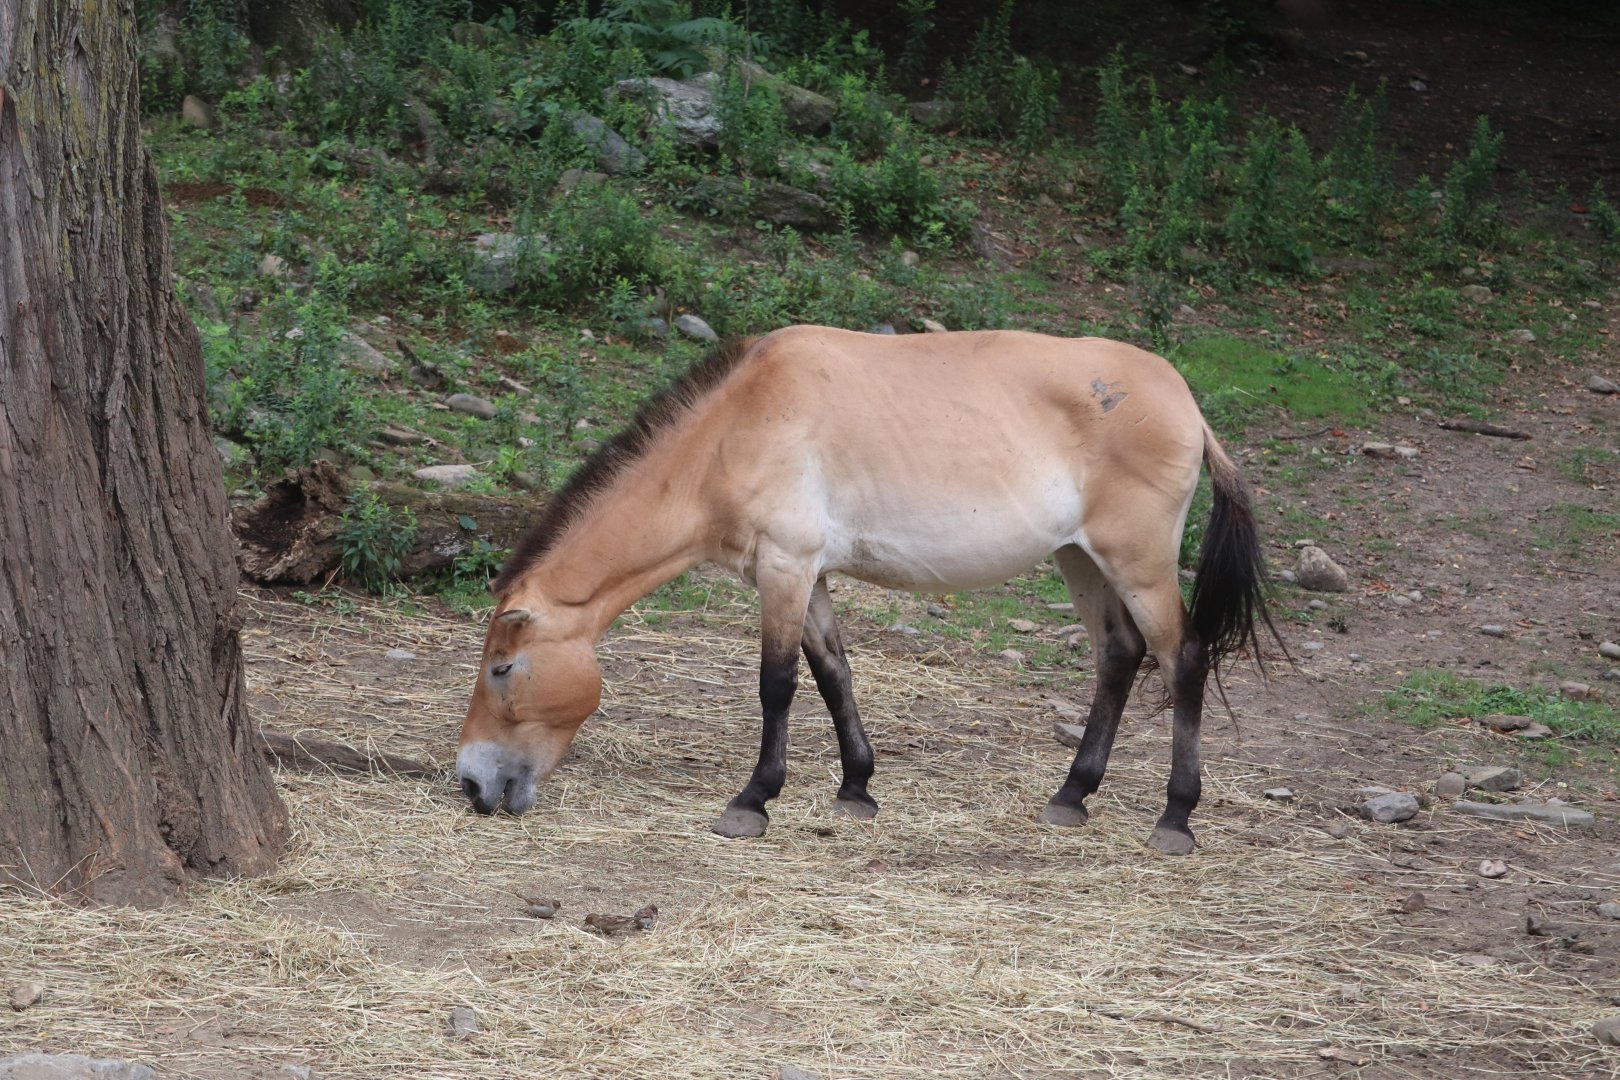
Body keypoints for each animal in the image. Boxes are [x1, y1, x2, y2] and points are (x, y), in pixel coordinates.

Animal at [456, 324, 1272, 854]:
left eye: (502, 669)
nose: (470, 784)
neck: (736, 426)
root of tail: (1186, 404)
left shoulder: (786, 568)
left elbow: (778, 685)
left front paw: (752, 802)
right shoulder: (805, 574)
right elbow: (833, 674)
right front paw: (856, 789)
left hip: (1137, 563)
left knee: (1183, 658)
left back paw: (1175, 819)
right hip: (1081, 560)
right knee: (1120, 656)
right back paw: (1072, 797)